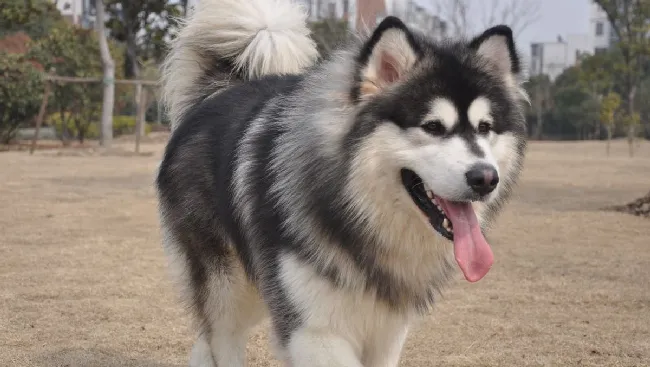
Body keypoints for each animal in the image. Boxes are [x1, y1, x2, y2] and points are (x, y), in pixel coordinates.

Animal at [156, 0, 528, 366]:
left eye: (484, 128)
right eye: (433, 127)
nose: (485, 178)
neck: (358, 215)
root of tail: (217, 94)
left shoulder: (386, 334)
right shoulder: (317, 333)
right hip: (229, 290)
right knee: (222, 336)